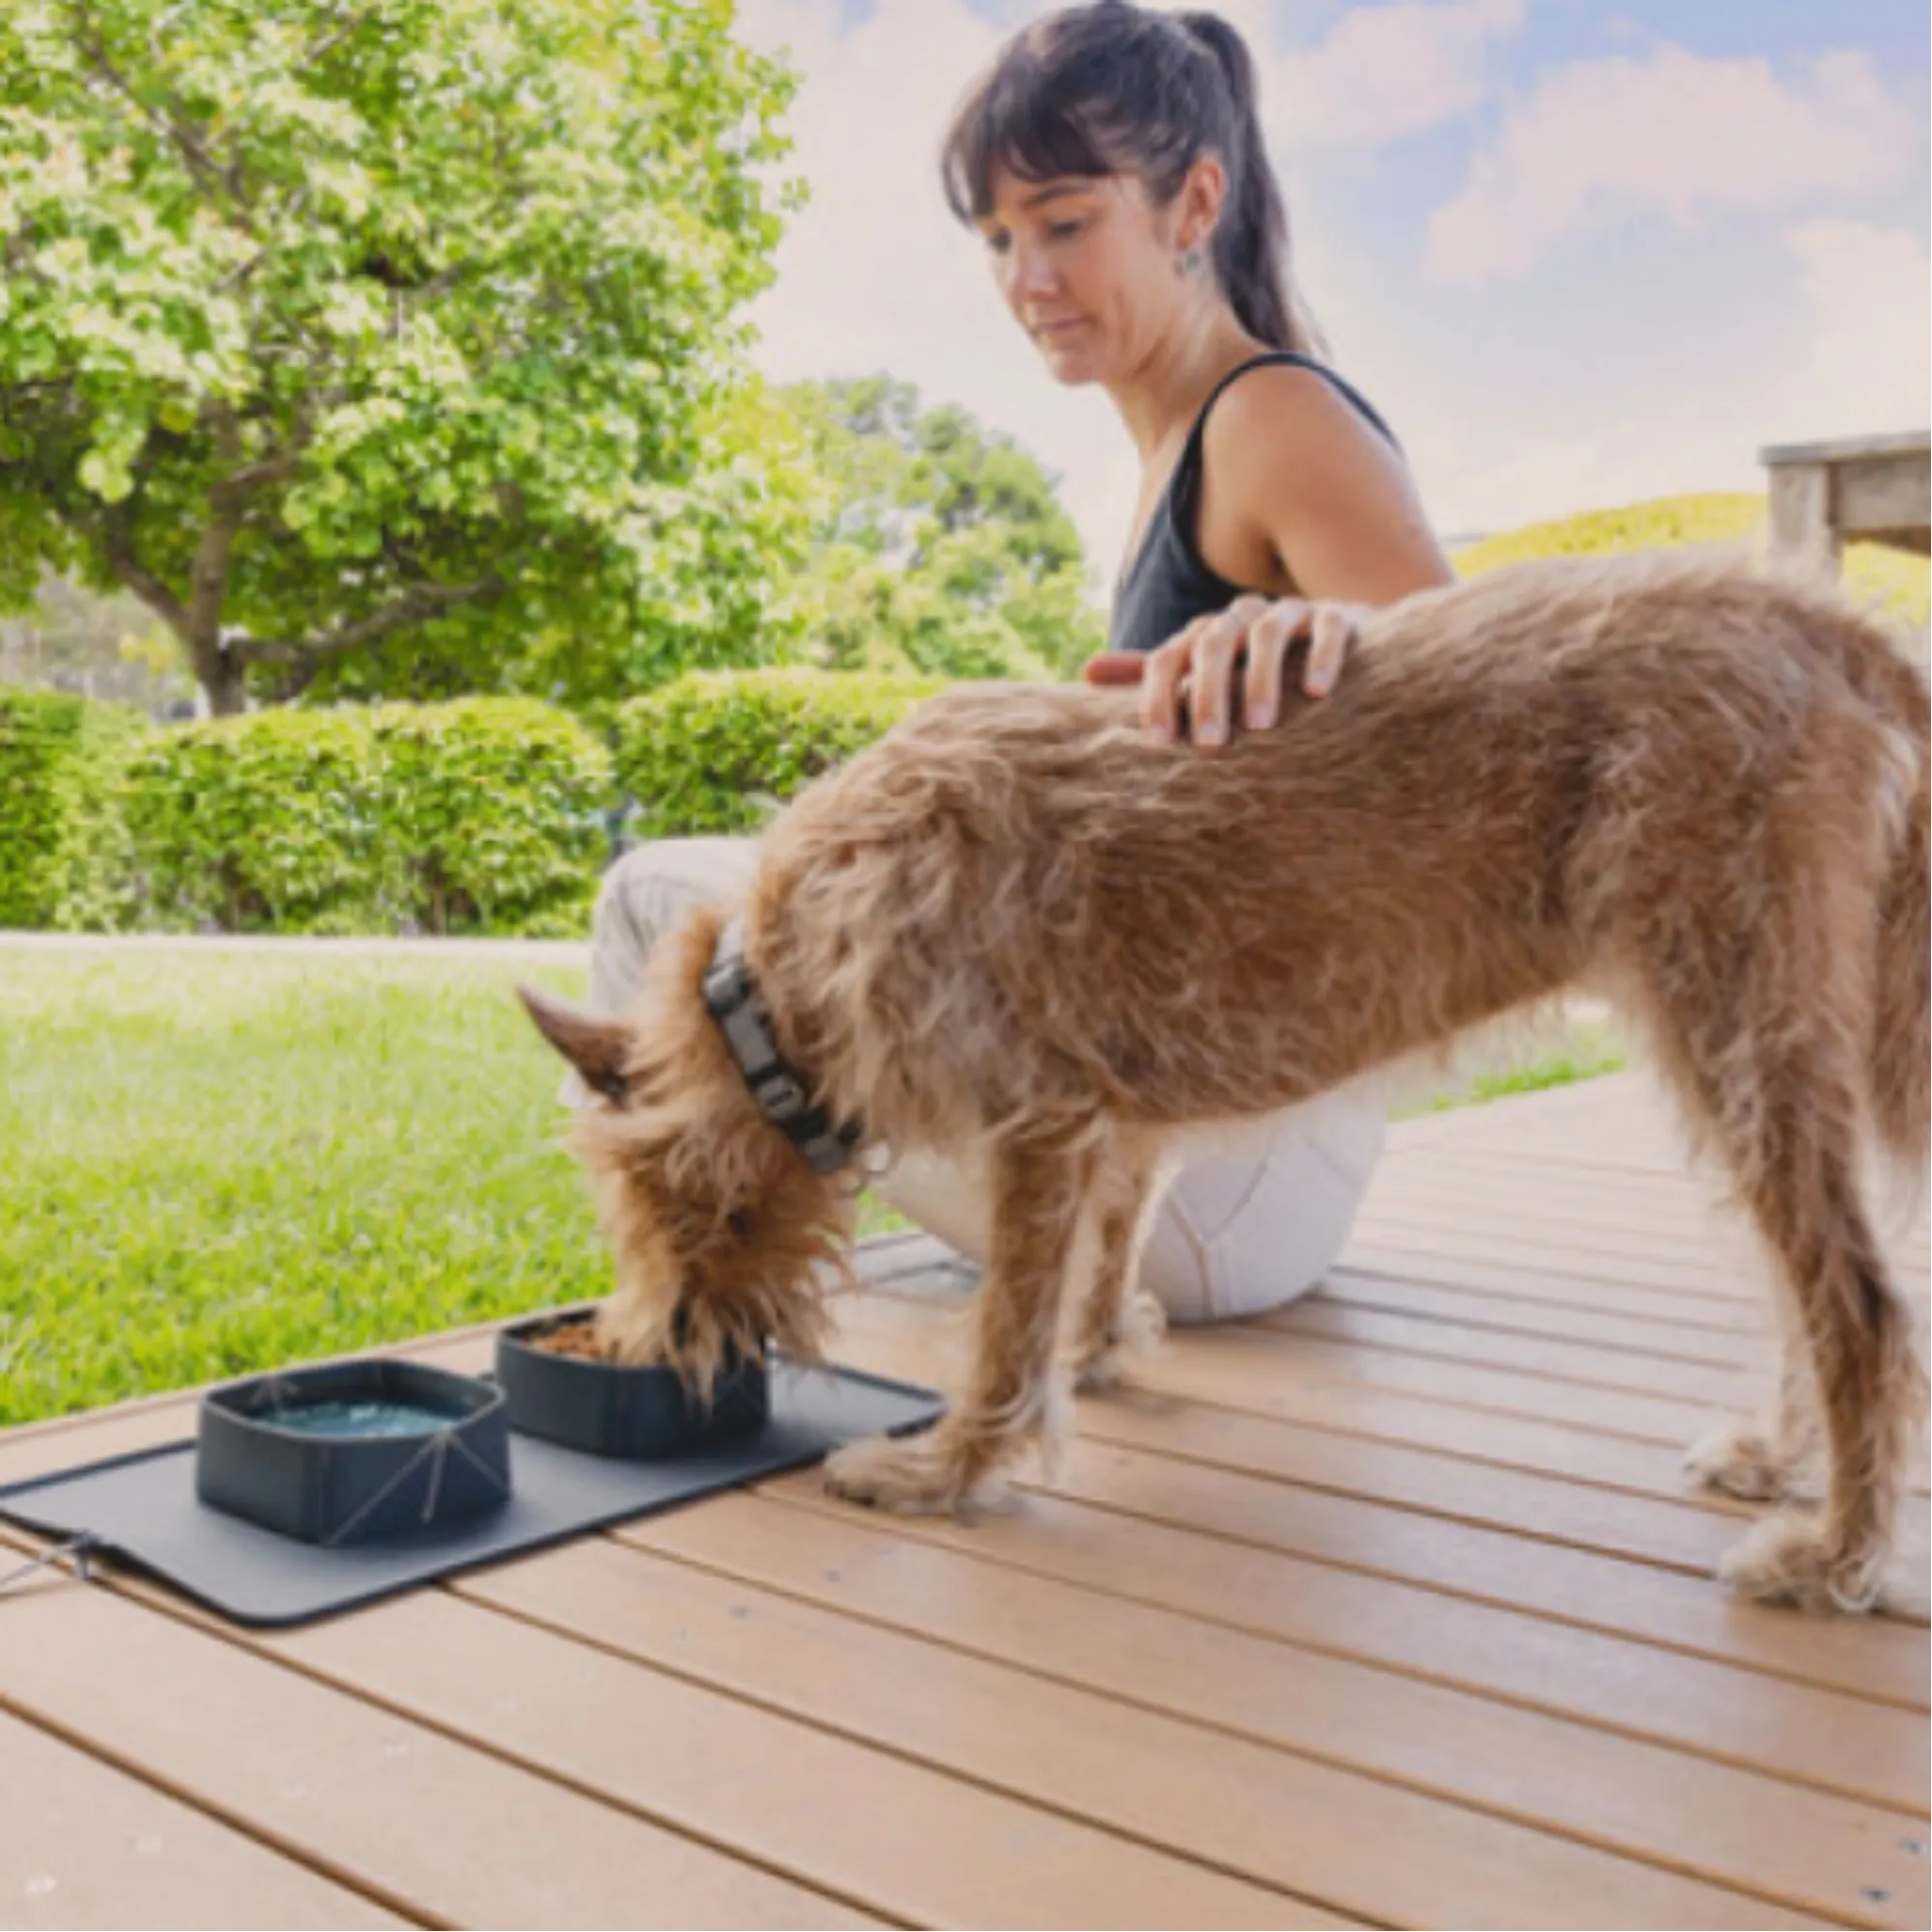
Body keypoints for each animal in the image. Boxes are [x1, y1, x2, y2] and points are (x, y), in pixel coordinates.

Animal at [522, 553, 1924, 1607]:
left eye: (649, 1209)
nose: (638, 1345)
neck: (772, 985)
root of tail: (1828, 619)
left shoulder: (1034, 1123)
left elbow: (1003, 1330)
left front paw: (951, 1470)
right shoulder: (1116, 1125)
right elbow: (1102, 1253)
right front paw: (1097, 1350)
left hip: (1735, 1031)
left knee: (1858, 1304)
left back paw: (1837, 1553)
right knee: (1806, 1295)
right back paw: (1781, 1462)